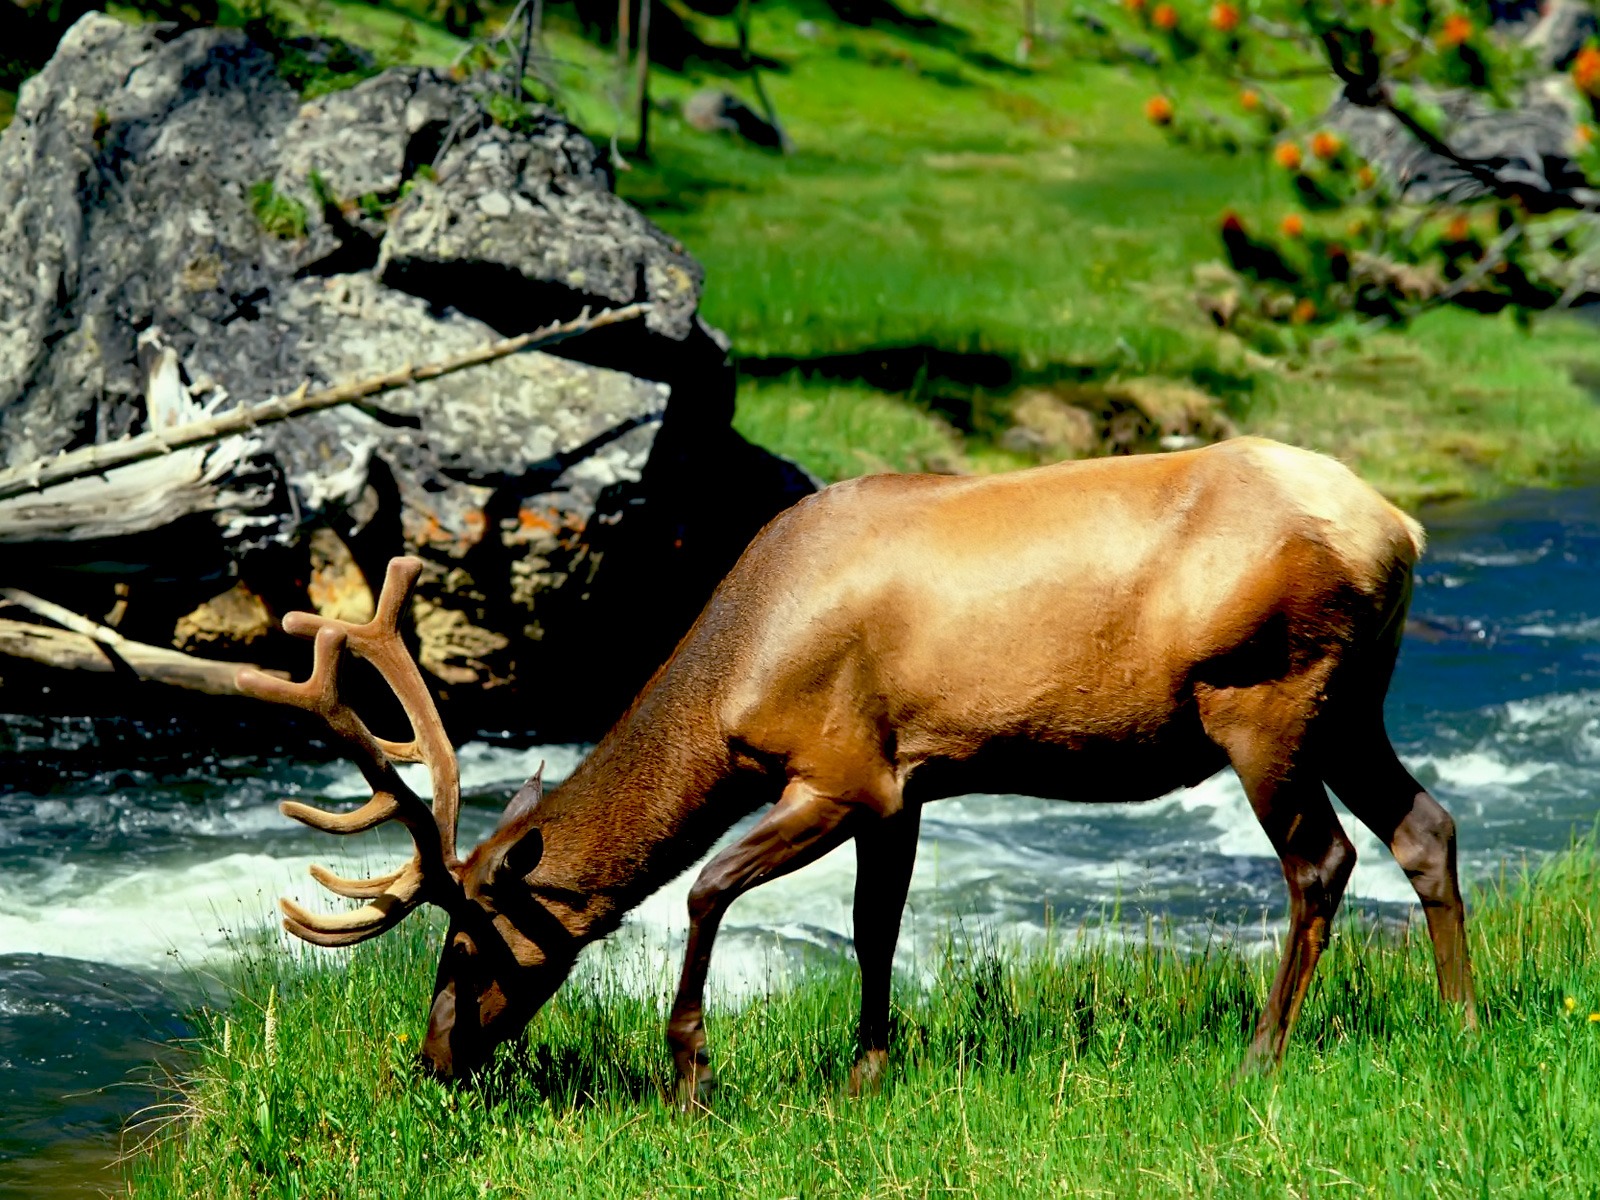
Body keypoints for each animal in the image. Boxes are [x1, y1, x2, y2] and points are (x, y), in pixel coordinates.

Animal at [237, 436, 1478, 1105]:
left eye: (467, 944)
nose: (433, 1057)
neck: (732, 680)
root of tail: (1401, 528)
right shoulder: (909, 781)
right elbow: (876, 926)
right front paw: (867, 1070)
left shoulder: (840, 771)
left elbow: (703, 890)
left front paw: (690, 1075)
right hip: (1349, 703)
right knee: (1426, 827)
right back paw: (1462, 1017)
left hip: (1266, 696)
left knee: (1321, 861)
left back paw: (1262, 1052)